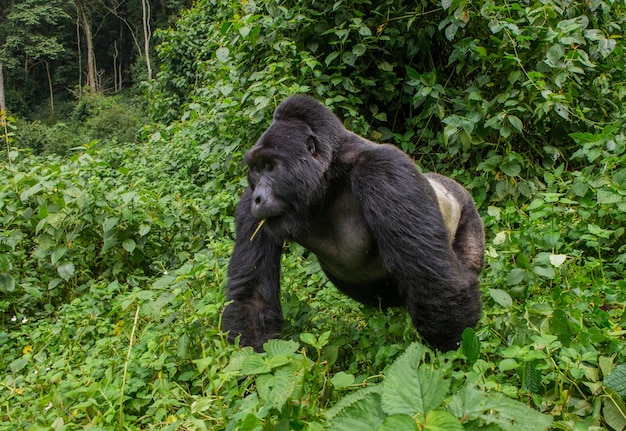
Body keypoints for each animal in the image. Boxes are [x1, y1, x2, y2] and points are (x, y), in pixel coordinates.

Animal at [222, 95, 486, 354]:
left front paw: (453, 356)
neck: (328, 177)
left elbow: (434, 281)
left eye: (270, 166)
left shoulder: (385, 171)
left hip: (467, 210)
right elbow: (253, 295)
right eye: (255, 170)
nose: (258, 198)